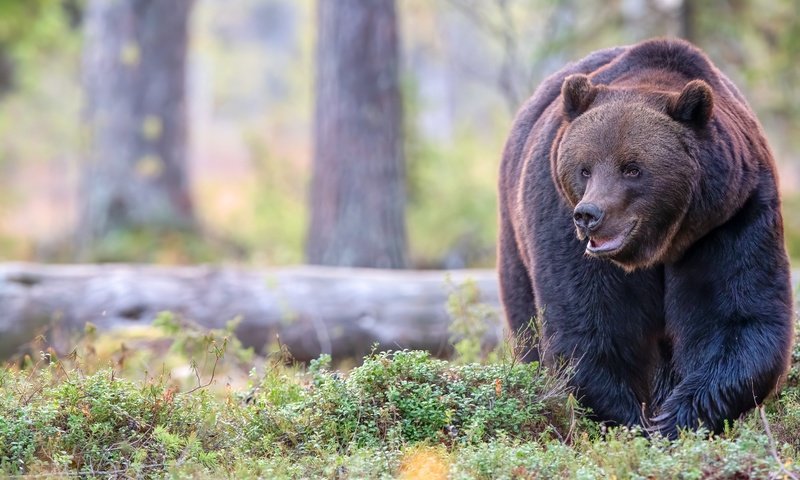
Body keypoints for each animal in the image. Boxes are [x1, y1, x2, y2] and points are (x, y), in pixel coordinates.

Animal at [500, 37, 792, 436]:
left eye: (632, 168)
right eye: (584, 168)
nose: (589, 216)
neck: (662, 243)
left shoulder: (731, 218)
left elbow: (738, 317)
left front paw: (674, 419)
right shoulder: (561, 221)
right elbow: (591, 327)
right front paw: (632, 421)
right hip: (515, 237)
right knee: (526, 319)